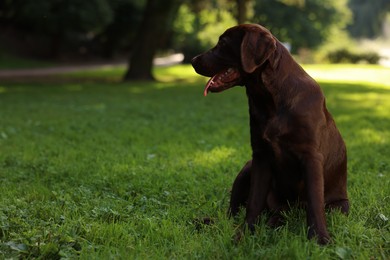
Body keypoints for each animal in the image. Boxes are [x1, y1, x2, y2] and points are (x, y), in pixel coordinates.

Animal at [191, 23, 348, 245]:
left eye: (223, 43)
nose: (193, 60)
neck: (272, 101)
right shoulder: (260, 156)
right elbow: (254, 202)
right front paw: (244, 234)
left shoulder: (311, 157)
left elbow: (315, 202)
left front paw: (320, 238)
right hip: (247, 168)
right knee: (232, 213)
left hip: (340, 206)